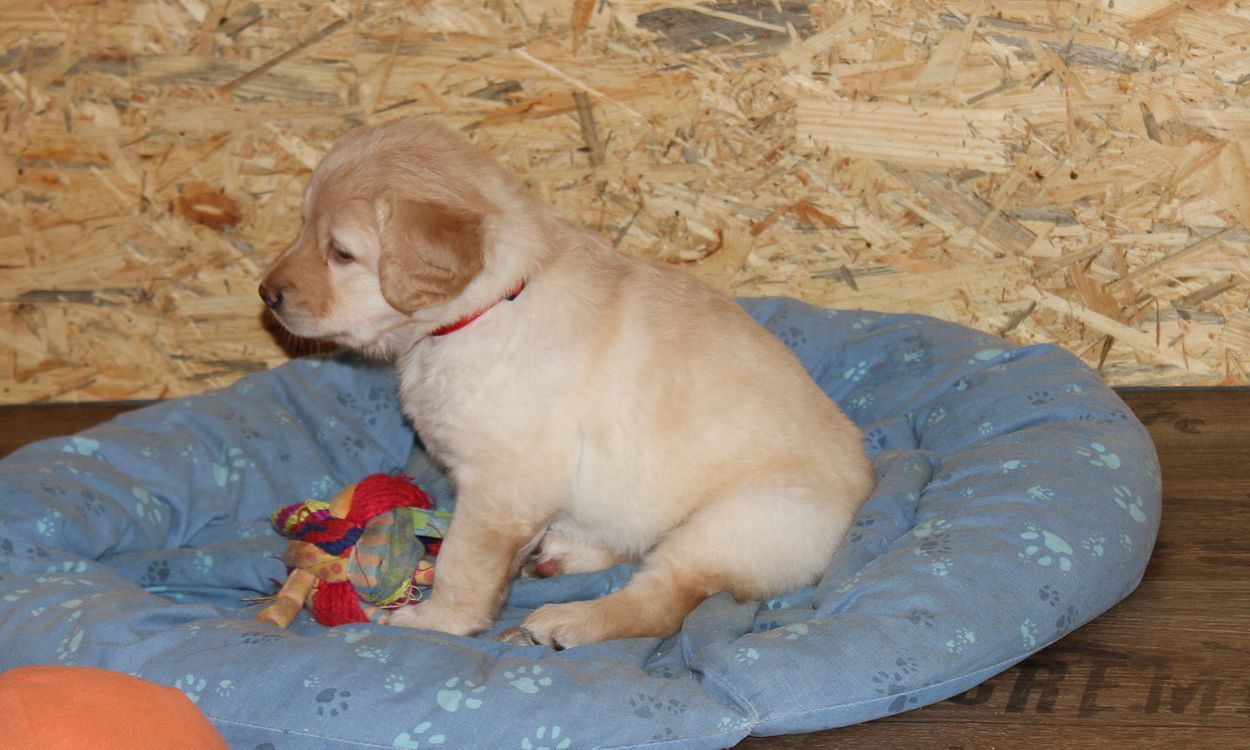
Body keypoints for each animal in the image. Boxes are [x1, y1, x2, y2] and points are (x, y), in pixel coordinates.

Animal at [258, 116, 874, 649]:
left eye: (341, 253)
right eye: (302, 224)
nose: (266, 295)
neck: (490, 305)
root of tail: (865, 485)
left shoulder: (501, 488)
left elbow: (461, 560)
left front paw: (435, 620)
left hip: (735, 524)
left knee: (665, 599)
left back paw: (567, 622)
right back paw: (567, 554)